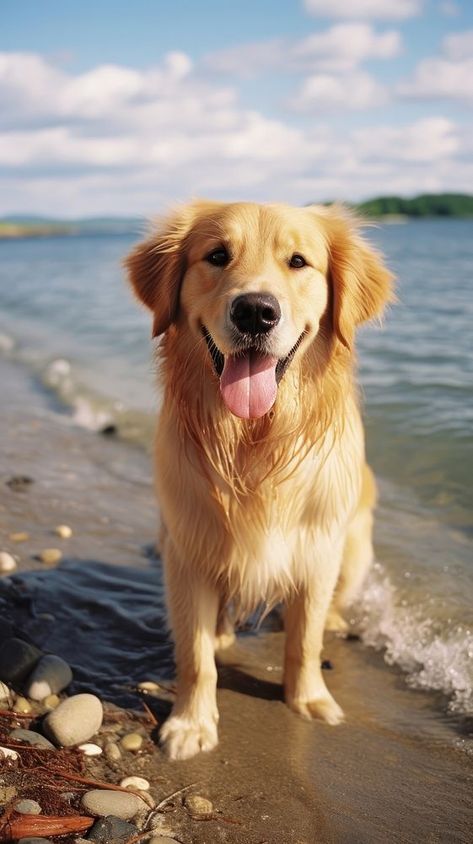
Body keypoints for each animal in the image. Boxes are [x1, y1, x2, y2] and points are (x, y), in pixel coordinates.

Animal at [124, 201, 390, 760]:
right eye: (217, 256)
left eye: (299, 261)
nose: (255, 312)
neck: (255, 440)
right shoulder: (187, 550)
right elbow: (195, 655)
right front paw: (191, 723)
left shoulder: (319, 551)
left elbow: (305, 641)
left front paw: (308, 699)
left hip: (356, 552)